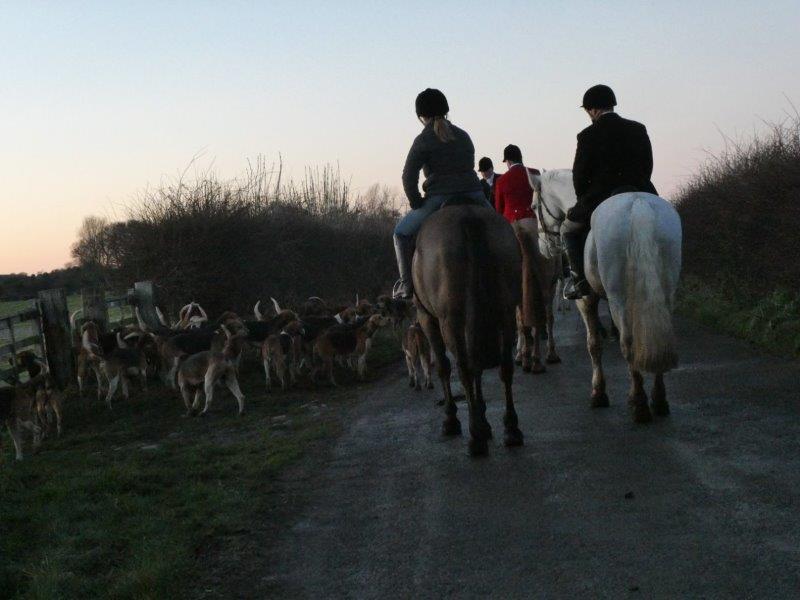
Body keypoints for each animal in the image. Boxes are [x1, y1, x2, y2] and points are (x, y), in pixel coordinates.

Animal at [413, 201, 523, 455]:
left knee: (462, 368)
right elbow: (479, 368)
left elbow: (443, 367)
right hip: (505, 313)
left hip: (450, 321)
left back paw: (475, 437)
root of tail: (468, 218)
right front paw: (484, 418)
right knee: (503, 366)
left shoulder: (427, 318)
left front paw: (452, 419)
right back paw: (511, 428)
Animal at [530, 169, 682, 423]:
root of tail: (637, 205)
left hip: (619, 297)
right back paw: (659, 399)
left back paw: (639, 403)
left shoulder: (586, 300)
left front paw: (598, 393)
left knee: (627, 343)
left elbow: (593, 343)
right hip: (665, 289)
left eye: (533, 206)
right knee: (660, 332)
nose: (544, 248)